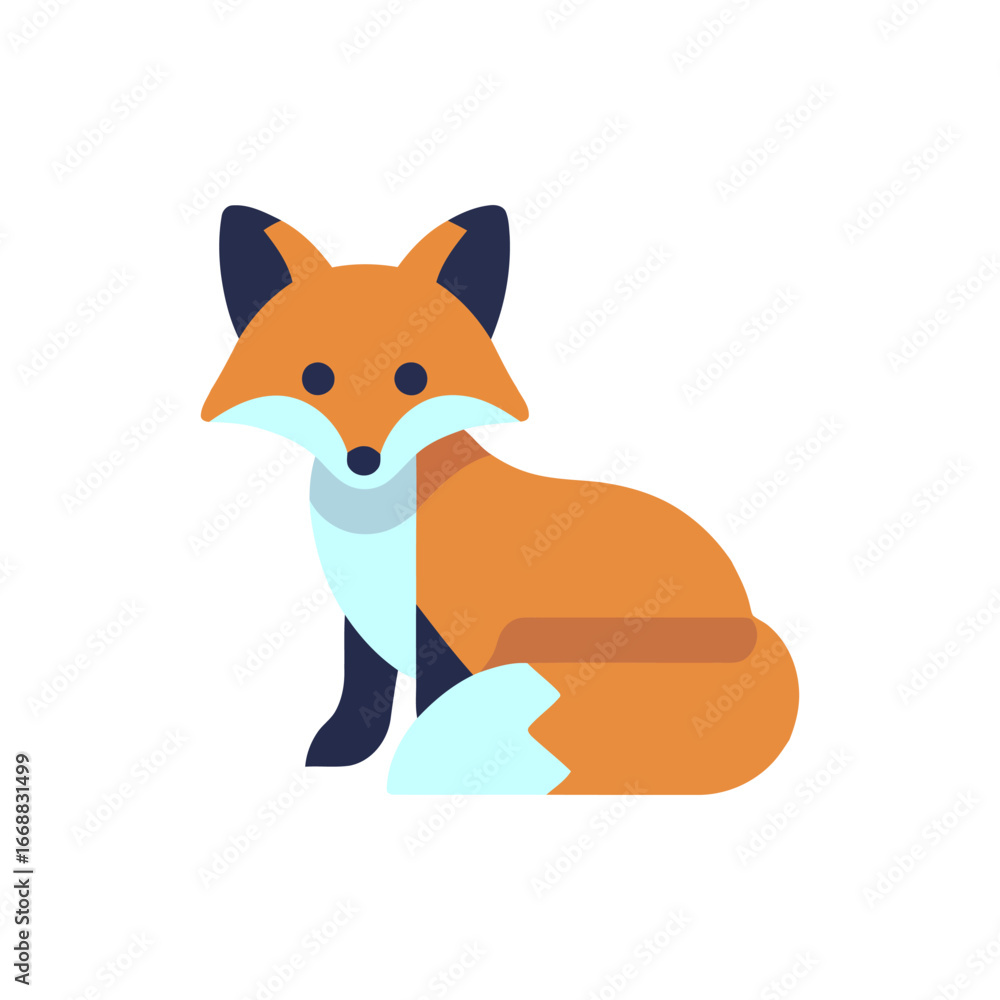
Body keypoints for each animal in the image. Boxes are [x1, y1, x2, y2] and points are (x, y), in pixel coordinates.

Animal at [203, 204, 798, 794]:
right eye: (315, 379)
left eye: (412, 378)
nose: (364, 460)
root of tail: (754, 629)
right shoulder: (365, 616)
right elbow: (364, 691)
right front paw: (346, 749)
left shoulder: (448, 629)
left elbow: (430, 705)